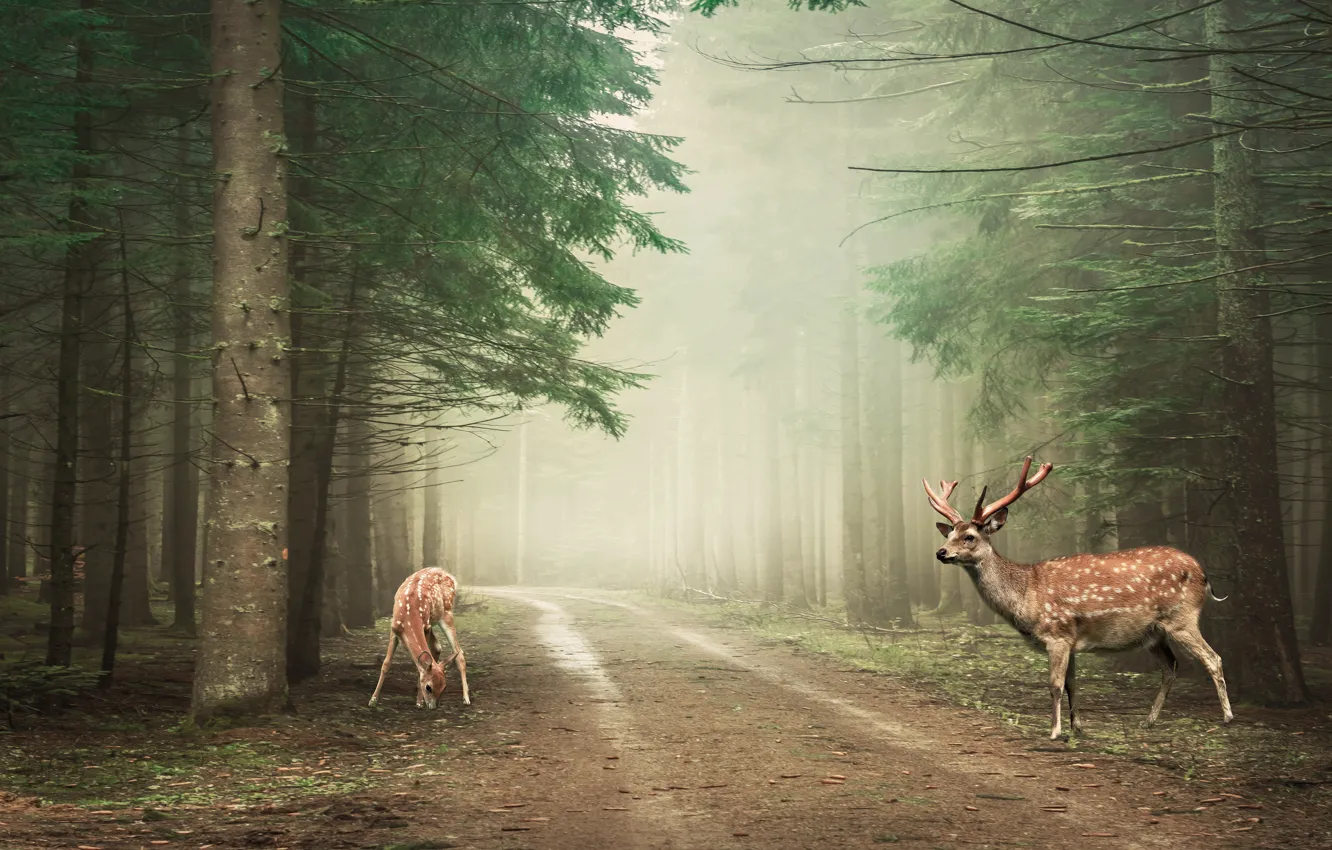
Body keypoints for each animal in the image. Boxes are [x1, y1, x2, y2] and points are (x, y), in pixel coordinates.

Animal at [368, 567, 471, 709]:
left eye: (444, 687)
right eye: (429, 687)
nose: (434, 706)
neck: (409, 617)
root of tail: (448, 574)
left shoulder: (425, 628)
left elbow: (419, 666)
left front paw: (419, 701)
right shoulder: (394, 629)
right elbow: (386, 663)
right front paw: (372, 700)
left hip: (447, 613)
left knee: (459, 652)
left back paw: (466, 698)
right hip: (434, 620)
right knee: (438, 647)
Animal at [923, 457, 1233, 740]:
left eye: (970, 537)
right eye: (950, 533)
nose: (940, 552)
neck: (1026, 594)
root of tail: (1204, 575)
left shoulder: (1057, 633)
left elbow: (1055, 684)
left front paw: (1055, 731)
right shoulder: (1070, 639)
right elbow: (1073, 684)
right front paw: (1077, 728)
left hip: (1182, 618)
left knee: (1213, 657)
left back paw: (1227, 718)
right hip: (1154, 633)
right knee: (1171, 667)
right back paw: (1148, 721)